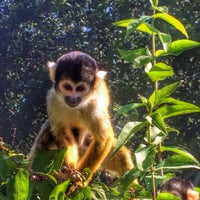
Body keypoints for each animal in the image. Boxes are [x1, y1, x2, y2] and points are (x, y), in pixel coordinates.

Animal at [29, 51, 134, 184]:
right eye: (68, 87)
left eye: (80, 88)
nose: (73, 99)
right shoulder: (52, 99)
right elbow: (62, 133)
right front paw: (69, 172)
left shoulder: (93, 105)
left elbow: (103, 139)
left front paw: (78, 181)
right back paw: (36, 175)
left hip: (86, 148)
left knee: (121, 155)